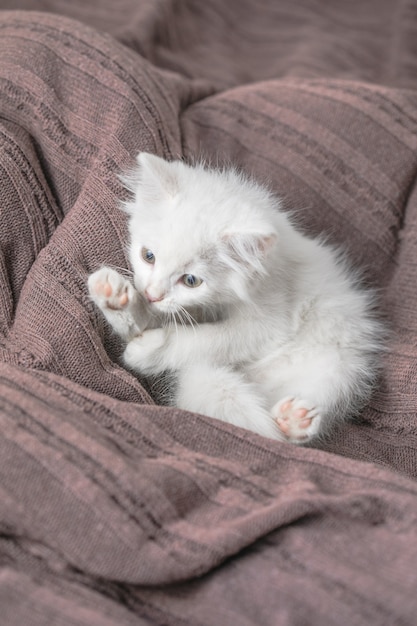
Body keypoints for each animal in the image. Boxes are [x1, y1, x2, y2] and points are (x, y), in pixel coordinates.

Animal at [88, 153, 384, 442]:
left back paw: (296, 419)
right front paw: (118, 299)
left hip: (341, 364)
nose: (151, 294)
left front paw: (150, 350)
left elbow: (208, 340)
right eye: (148, 256)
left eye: (191, 281)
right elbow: (151, 319)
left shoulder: (269, 322)